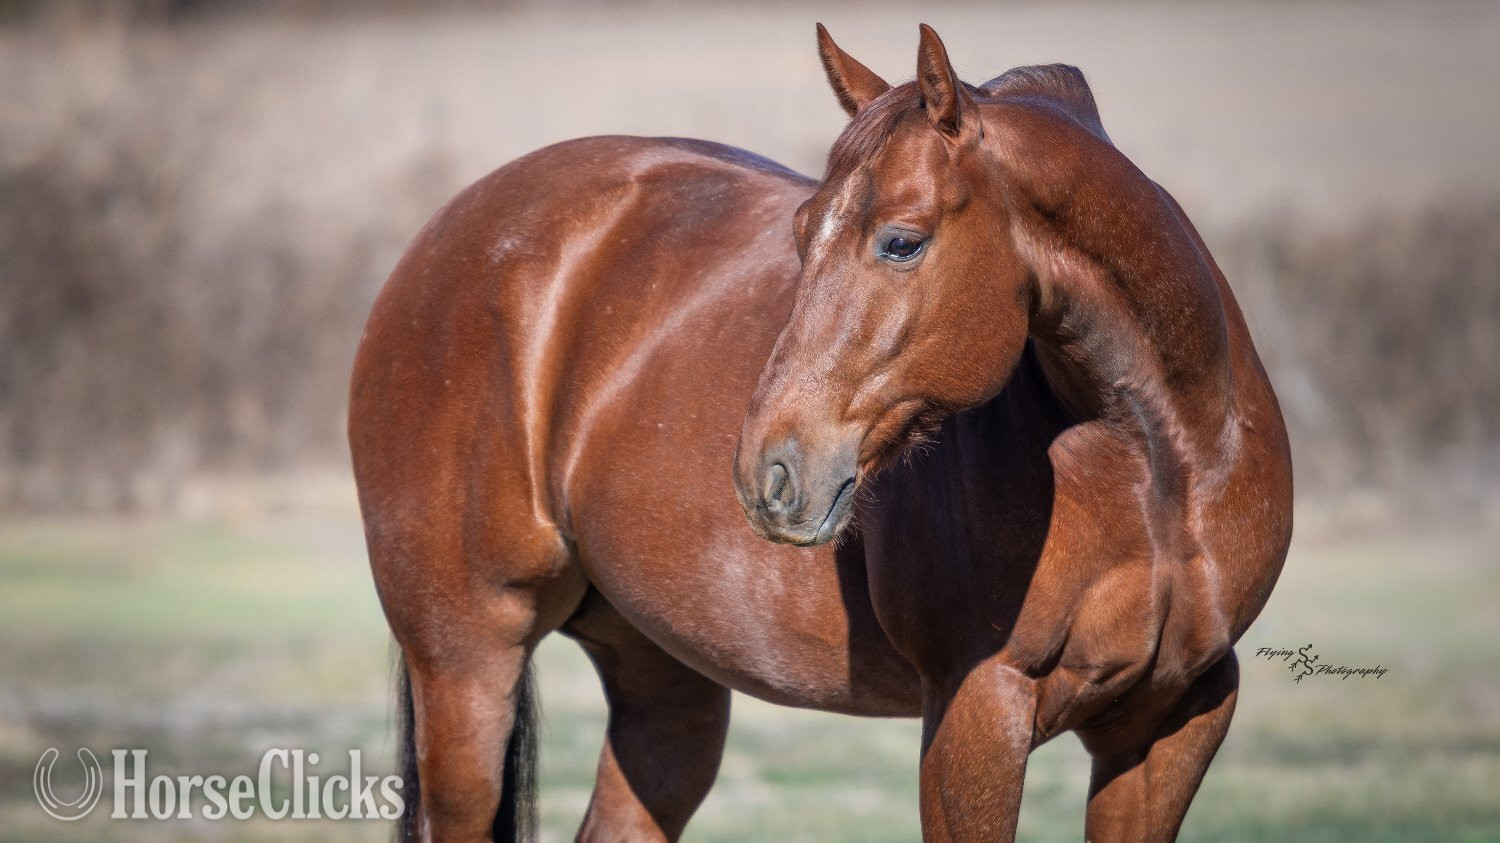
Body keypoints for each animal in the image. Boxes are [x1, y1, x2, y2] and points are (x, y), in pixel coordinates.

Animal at [349, 23, 1293, 842]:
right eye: (801, 234)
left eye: (902, 241)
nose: (768, 474)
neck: (1157, 467)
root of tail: (448, 235)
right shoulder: (976, 712)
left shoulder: (1176, 715)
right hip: (468, 660)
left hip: (663, 680)